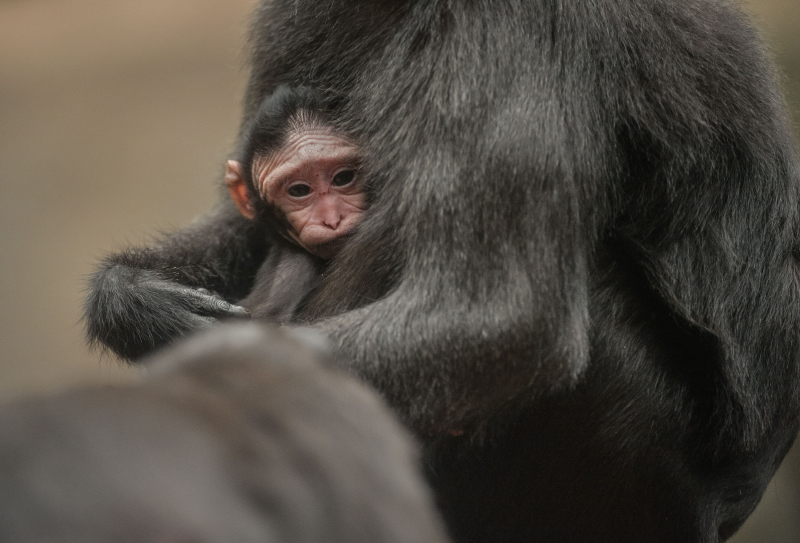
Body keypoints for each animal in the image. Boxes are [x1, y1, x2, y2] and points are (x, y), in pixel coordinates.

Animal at [84, 1, 800, 541]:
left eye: (343, 178)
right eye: (299, 189)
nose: (329, 213)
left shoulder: (525, 22)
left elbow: (504, 319)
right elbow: (250, 222)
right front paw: (140, 305)